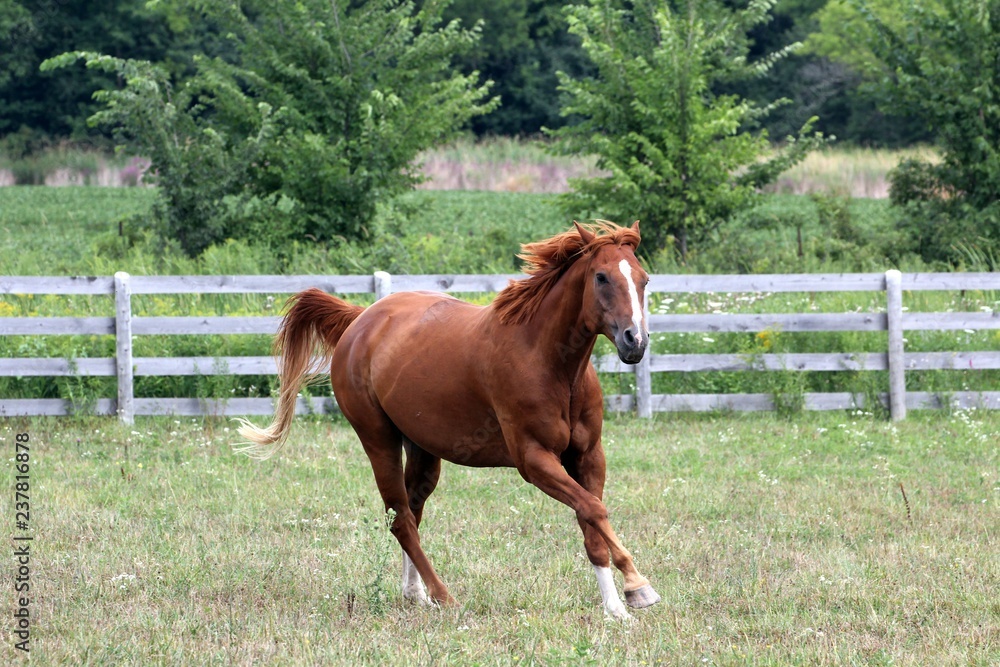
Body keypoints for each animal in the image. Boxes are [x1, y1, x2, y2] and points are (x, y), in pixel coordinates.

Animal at [236, 220, 660, 620]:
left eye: (644, 279)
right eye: (601, 277)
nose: (634, 342)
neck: (549, 363)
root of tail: (361, 319)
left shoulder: (588, 456)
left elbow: (591, 522)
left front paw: (616, 608)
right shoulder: (534, 460)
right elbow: (594, 510)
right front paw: (639, 586)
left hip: (423, 451)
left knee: (411, 513)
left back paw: (416, 594)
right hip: (378, 441)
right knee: (401, 520)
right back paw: (443, 596)